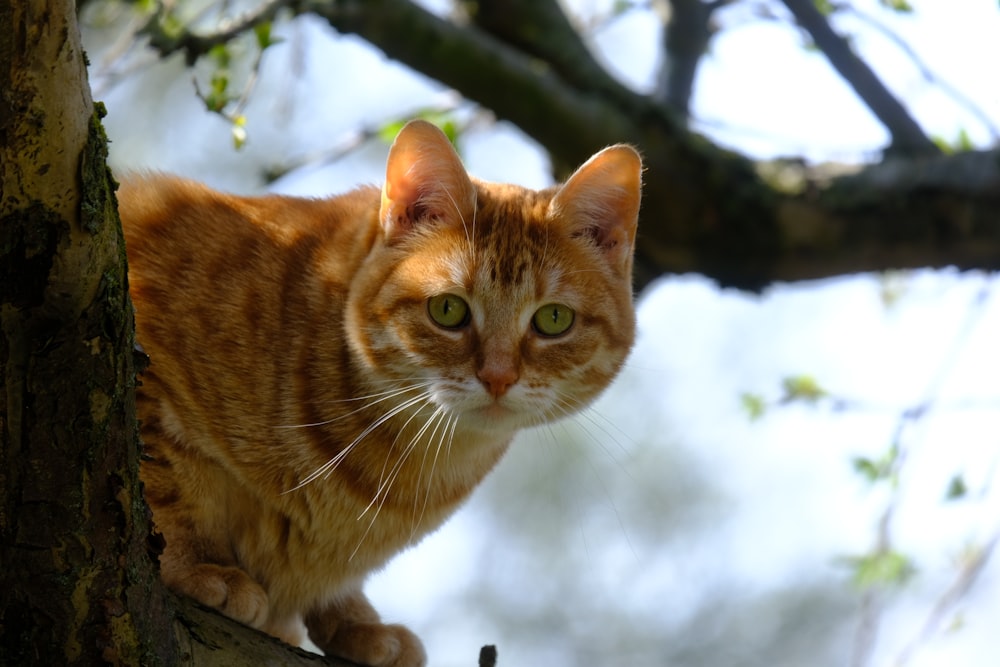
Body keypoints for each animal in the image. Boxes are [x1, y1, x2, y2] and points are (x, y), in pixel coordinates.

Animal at [119, 121, 640, 667]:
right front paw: (197, 563)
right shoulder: (146, 371)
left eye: (553, 319)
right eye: (448, 310)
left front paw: (355, 621)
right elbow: (169, 483)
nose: (498, 377)